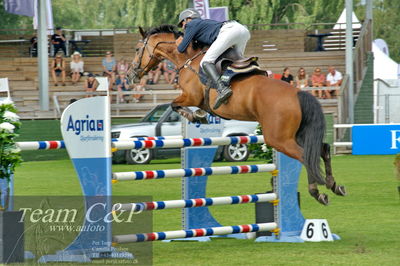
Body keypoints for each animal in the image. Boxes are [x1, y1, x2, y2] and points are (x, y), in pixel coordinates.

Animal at [126, 25, 346, 205]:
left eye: (137, 49)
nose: (130, 75)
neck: (188, 59)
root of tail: (298, 93)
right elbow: (188, 107)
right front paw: (200, 115)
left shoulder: (190, 96)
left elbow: (174, 104)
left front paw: (195, 116)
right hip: (296, 134)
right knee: (322, 149)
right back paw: (334, 185)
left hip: (278, 139)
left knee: (304, 156)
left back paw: (318, 193)